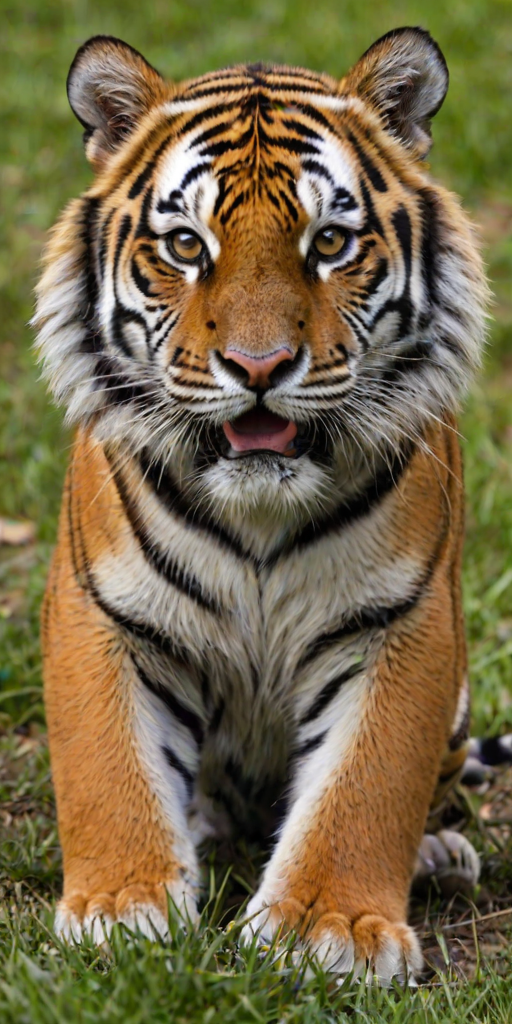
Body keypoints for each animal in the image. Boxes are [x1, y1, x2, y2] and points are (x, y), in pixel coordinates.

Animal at [33, 27, 488, 983]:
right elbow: (108, 769)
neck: (258, 517)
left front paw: (327, 930)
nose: (259, 366)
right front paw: (120, 908)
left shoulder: (405, 621)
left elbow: (366, 783)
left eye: (331, 242)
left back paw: (439, 855)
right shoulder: (103, 610)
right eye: (184, 245)